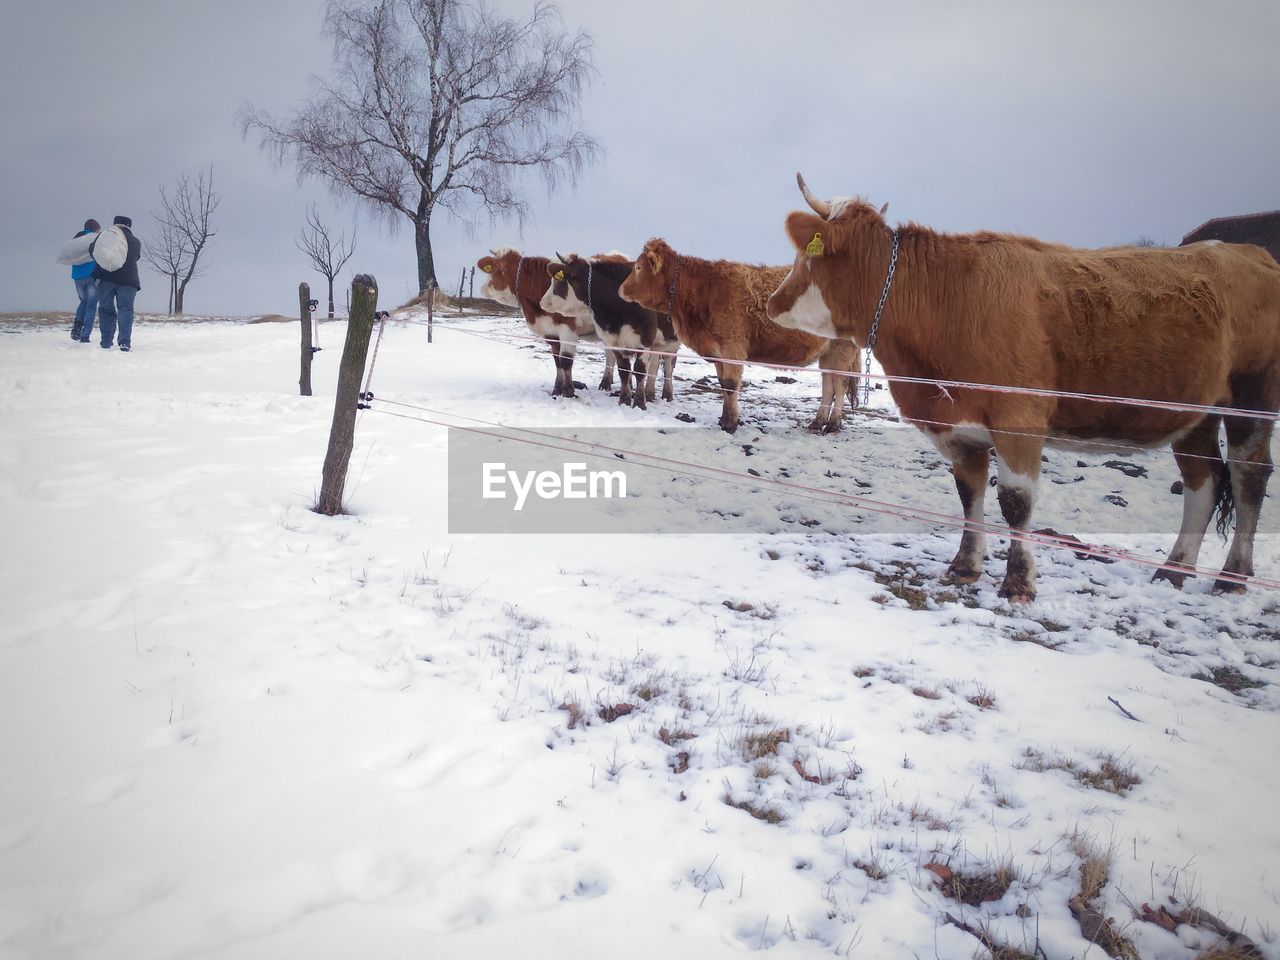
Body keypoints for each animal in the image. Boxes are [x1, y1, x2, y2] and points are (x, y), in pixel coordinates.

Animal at [476, 248, 614, 401]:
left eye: (496, 271)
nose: (482, 289)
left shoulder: (568, 330)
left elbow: (565, 361)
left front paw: (569, 393)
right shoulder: (551, 332)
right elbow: (557, 361)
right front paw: (557, 391)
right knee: (610, 354)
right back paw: (605, 385)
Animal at [540, 253, 680, 407]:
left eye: (557, 281)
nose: (542, 302)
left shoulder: (645, 339)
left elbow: (639, 370)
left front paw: (638, 403)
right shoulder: (615, 340)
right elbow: (624, 370)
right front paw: (625, 400)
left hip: (672, 342)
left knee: (669, 365)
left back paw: (667, 395)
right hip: (657, 344)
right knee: (654, 365)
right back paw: (649, 394)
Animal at [619, 240, 860, 435]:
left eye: (638, 267)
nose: (620, 289)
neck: (704, 292)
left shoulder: (732, 347)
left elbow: (731, 384)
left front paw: (731, 423)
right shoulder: (717, 352)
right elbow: (723, 384)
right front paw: (724, 418)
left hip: (842, 349)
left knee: (839, 384)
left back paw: (833, 425)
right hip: (828, 353)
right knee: (828, 385)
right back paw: (817, 422)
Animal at [762, 168, 1274, 599]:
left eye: (804, 257)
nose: (772, 303)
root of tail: (1249, 252)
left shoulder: (1019, 417)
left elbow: (1015, 502)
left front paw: (1018, 582)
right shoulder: (959, 424)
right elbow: (969, 492)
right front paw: (965, 566)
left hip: (1253, 397)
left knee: (1249, 475)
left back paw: (1232, 576)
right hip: (1197, 412)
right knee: (1203, 480)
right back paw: (1174, 569)